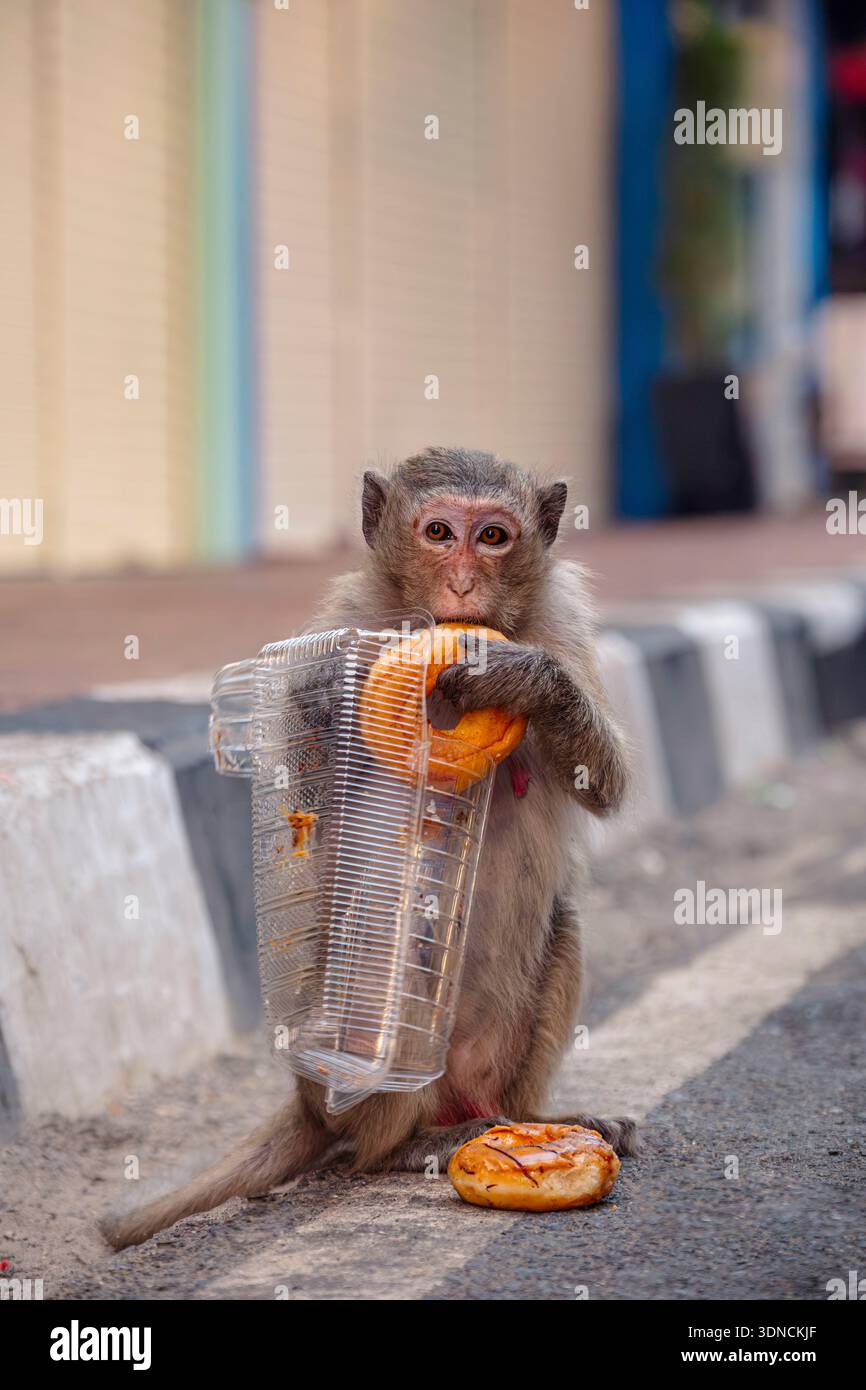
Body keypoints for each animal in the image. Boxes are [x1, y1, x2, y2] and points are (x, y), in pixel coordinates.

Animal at [101, 446, 634, 1250]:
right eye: (440, 532)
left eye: (494, 537)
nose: (463, 583)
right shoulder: (344, 628)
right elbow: (307, 767)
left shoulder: (562, 620)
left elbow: (606, 782)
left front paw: (522, 679)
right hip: (367, 1063)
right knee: (377, 979)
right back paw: (402, 1149)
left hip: (489, 1070)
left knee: (562, 924)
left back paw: (535, 1119)